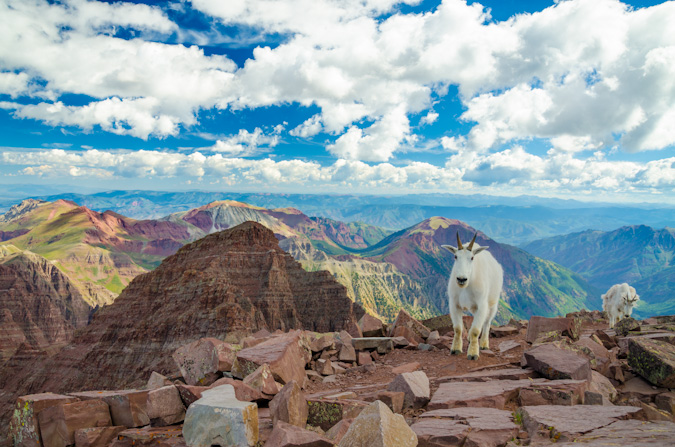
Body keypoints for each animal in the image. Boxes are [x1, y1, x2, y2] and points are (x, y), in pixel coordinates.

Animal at [444, 233, 502, 362]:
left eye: (472, 258)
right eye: (455, 256)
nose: (461, 279)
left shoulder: (482, 305)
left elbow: (476, 330)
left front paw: (473, 354)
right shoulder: (454, 304)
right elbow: (457, 328)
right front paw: (455, 349)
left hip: (493, 304)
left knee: (487, 323)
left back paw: (484, 344)